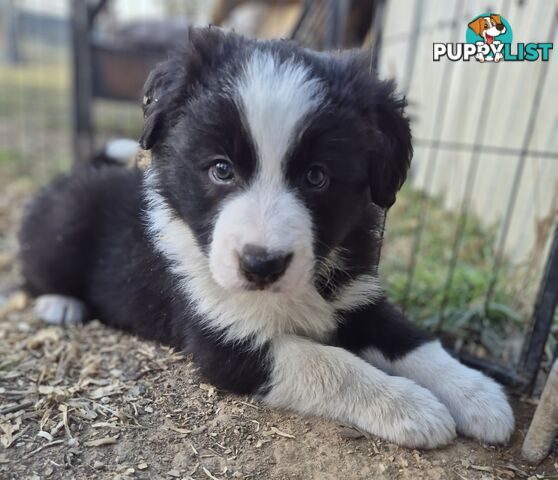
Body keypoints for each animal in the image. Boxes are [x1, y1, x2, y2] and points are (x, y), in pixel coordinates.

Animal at [18, 26, 516, 448]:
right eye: (221, 169)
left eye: (317, 177)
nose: (261, 264)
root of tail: (84, 171)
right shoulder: (223, 340)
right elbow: (330, 365)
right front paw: (411, 406)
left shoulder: (358, 296)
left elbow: (412, 340)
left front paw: (478, 394)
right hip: (64, 222)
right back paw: (59, 303)